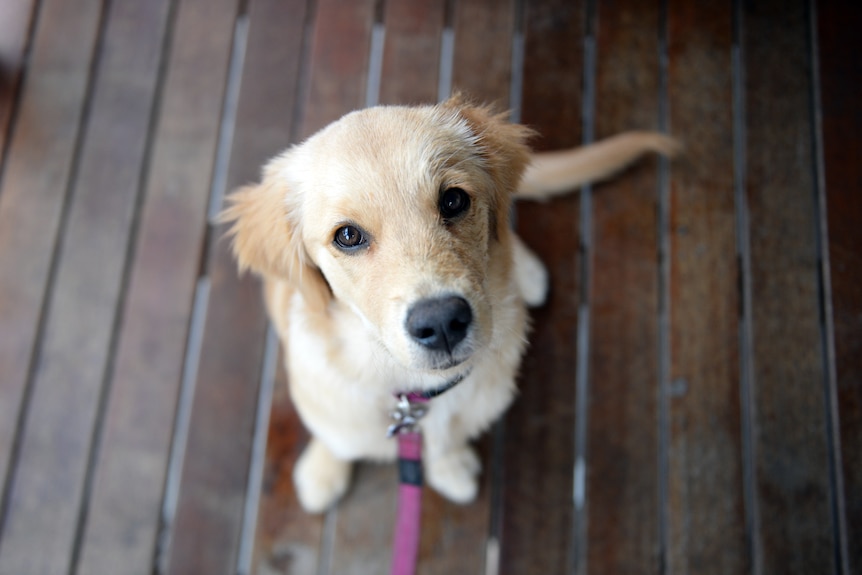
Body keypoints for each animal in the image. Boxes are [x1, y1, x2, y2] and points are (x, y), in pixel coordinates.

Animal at [224, 95, 680, 512]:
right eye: (348, 236)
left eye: (453, 200)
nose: (442, 323)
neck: (413, 399)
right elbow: (333, 435)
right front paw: (322, 472)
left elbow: (444, 447)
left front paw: (450, 469)